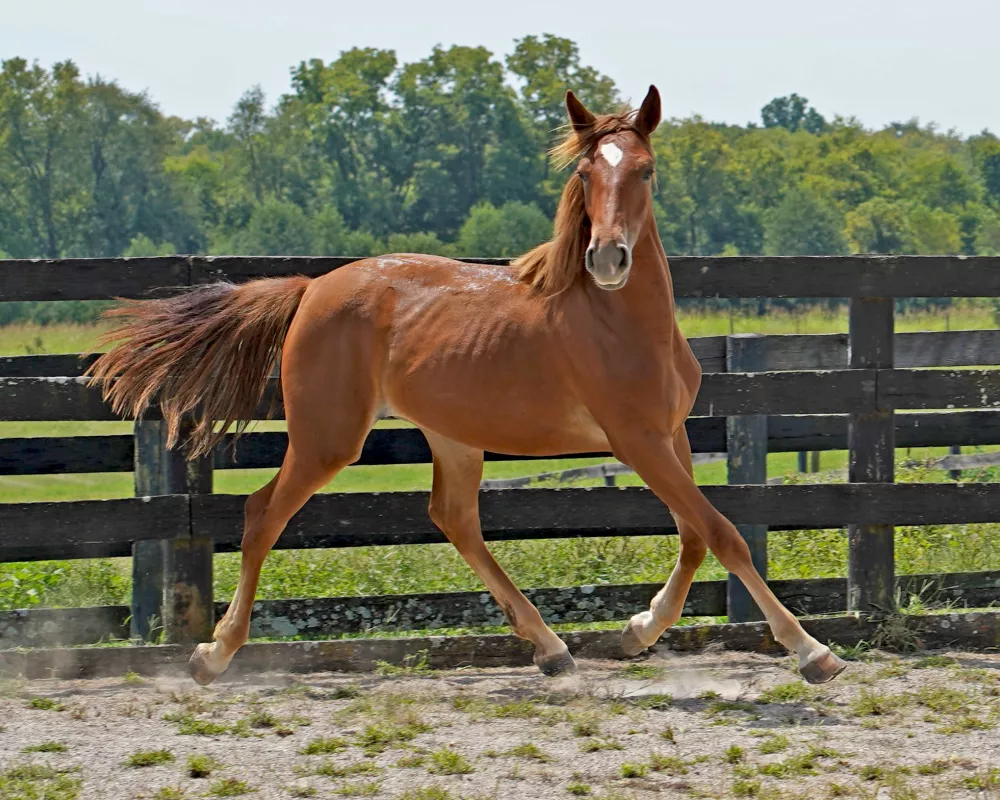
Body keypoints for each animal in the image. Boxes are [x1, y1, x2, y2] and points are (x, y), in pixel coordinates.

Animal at [90, 87, 848, 688]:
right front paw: (812, 651)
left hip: (451, 435)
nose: (607, 257)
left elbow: (694, 536)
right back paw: (212, 655)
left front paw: (637, 630)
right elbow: (723, 533)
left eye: (646, 169)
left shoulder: (670, 435)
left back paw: (551, 650)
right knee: (261, 514)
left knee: (454, 519)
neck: (620, 322)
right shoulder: (636, 441)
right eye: (585, 170)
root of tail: (312, 289)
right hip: (328, 437)